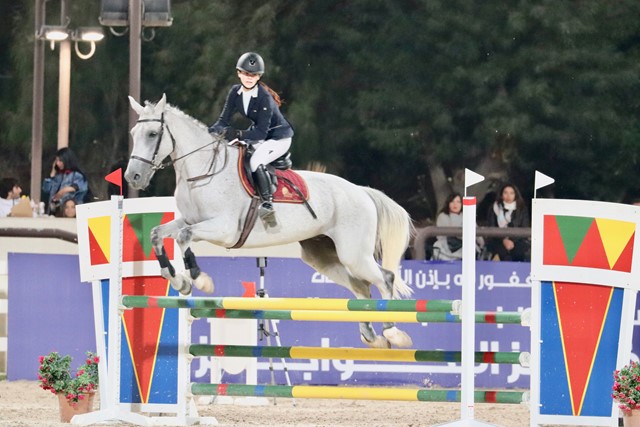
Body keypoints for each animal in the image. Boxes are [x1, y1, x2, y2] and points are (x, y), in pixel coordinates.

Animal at [124, 94, 414, 349]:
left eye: (153, 134)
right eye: (133, 134)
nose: (132, 177)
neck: (203, 171)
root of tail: (362, 191)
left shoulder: (223, 229)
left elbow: (184, 237)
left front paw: (199, 279)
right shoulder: (189, 220)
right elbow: (157, 234)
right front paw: (178, 281)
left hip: (354, 254)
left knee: (385, 278)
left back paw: (392, 332)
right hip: (323, 256)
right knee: (361, 286)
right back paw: (371, 335)